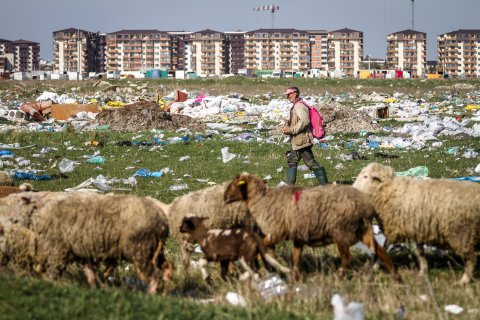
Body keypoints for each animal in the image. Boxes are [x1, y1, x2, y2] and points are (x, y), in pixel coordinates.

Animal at [223, 171, 400, 282]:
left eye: (234, 184)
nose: (224, 197)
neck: (262, 200)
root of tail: (366, 206)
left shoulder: (277, 232)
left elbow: (262, 245)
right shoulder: (298, 236)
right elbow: (295, 258)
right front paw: (295, 279)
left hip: (341, 230)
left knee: (346, 257)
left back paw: (340, 277)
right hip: (360, 230)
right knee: (380, 250)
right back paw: (394, 275)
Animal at [352, 162, 480, 284]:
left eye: (365, 176)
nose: (352, 188)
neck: (388, 189)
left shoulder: (396, 227)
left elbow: (384, 247)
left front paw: (375, 266)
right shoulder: (416, 227)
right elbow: (419, 252)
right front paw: (423, 270)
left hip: (462, 234)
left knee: (472, 259)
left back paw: (464, 281)